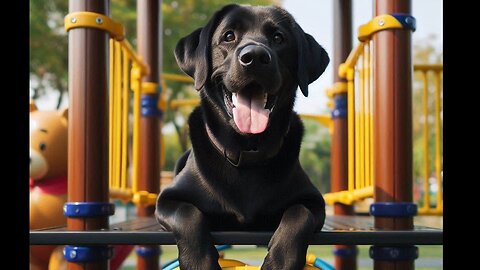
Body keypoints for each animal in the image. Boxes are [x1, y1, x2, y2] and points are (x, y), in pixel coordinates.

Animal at [158, 4, 330, 270]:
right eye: (229, 36)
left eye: (278, 38)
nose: (255, 57)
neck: (247, 151)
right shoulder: (167, 199)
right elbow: (188, 214)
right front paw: (199, 262)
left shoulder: (313, 200)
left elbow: (299, 214)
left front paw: (280, 261)